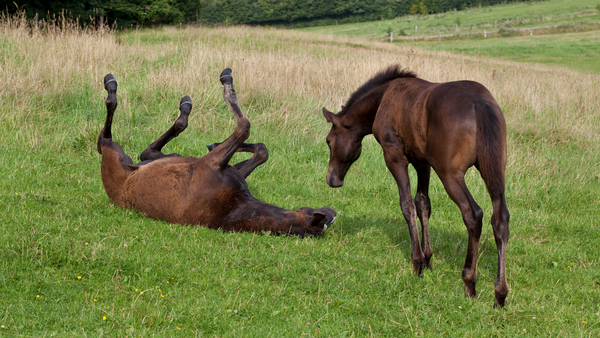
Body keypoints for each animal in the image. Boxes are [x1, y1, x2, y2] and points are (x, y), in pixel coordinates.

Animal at [96, 68, 336, 236]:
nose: (332, 211)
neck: (233, 208)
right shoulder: (222, 166)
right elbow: (260, 148)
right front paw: (216, 141)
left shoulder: (210, 164)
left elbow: (244, 127)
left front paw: (227, 82)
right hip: (166, 158)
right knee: (146, 151)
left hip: (114, 153)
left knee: (107, 140)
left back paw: (113, 87)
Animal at [324, 64, 510, 308]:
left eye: (328, 140)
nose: (331, 179)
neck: (383, 98)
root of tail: (480, 104)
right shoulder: (423, 163)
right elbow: (423, 204)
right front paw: (428, 257)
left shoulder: (394, 156)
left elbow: (407, 204)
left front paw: (418, 262)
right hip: (494, 170)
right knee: (500, 219)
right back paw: (500, 293)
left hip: (451, 175)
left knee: (473, 214)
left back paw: (470, 281)